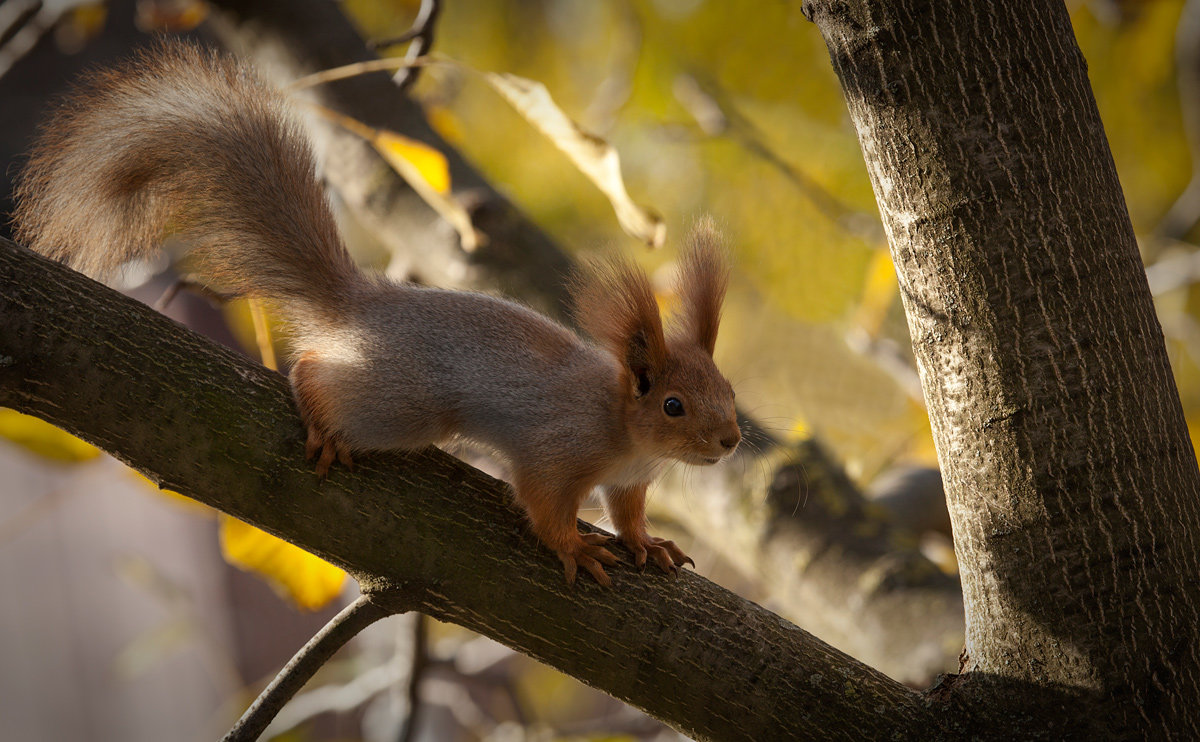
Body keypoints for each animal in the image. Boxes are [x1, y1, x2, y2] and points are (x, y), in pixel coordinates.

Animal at [11, 42, 739, 583]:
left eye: (730, 393)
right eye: (673, 405)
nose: (732, 441)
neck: (626, 430)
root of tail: (360, 300)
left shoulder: (632, 480)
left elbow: (630, 513)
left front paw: (648, 544)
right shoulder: (558, 449)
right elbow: (541, 502)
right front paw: (574, 548)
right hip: (404, 402)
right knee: (313, 369)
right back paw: (321, 417)